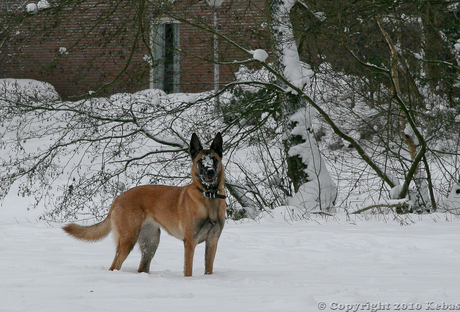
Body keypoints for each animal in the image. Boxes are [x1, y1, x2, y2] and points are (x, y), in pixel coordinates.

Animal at [62, 133, 225, 276]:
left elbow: (209, 269)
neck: (209, 197)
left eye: (214, 159)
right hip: (128, 240)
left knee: (142, 268)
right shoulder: (190, 242)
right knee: (114, 266)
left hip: (151, 242)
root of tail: (118, 198)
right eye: (201, 161)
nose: (210, 172)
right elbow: (188, 270)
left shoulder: (213, 241)